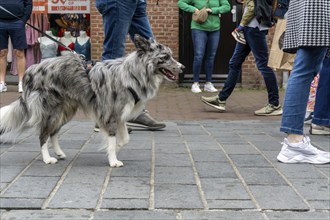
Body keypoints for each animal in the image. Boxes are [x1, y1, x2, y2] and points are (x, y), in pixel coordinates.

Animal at [0, 35, 186, 168]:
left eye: (170, 55)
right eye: (165, 57)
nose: (183, 67)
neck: (132, 74)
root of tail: (31, 70)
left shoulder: (121, 115)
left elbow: (124, 139)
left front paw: (114, 149)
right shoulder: (111, 115)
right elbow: (112, 139)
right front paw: (113, 160)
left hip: (65, 111)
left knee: (53, 132)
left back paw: (59, 153)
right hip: (51, 111)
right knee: (43, 135)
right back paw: (47, 159)